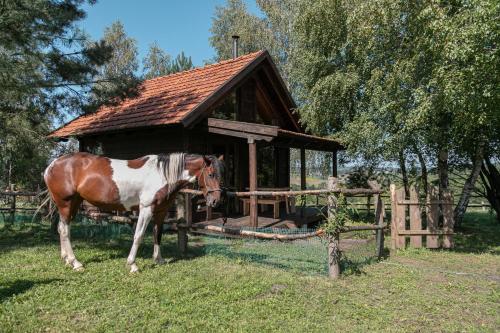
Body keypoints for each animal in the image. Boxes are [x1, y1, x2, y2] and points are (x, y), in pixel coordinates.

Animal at [44, 152, 224, 272]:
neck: (162, 174)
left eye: (221, 175)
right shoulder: (146, 209)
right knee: (65, 231)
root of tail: (51, 165)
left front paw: (159, 259)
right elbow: (138, 235)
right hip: (66, 204)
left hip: (73, 204)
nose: (216, 201)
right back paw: (76, 263)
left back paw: (66, 259)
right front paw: (132, 264)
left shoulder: (161, 211)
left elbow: (157, 234)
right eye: (210, 174)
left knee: (61, 228)